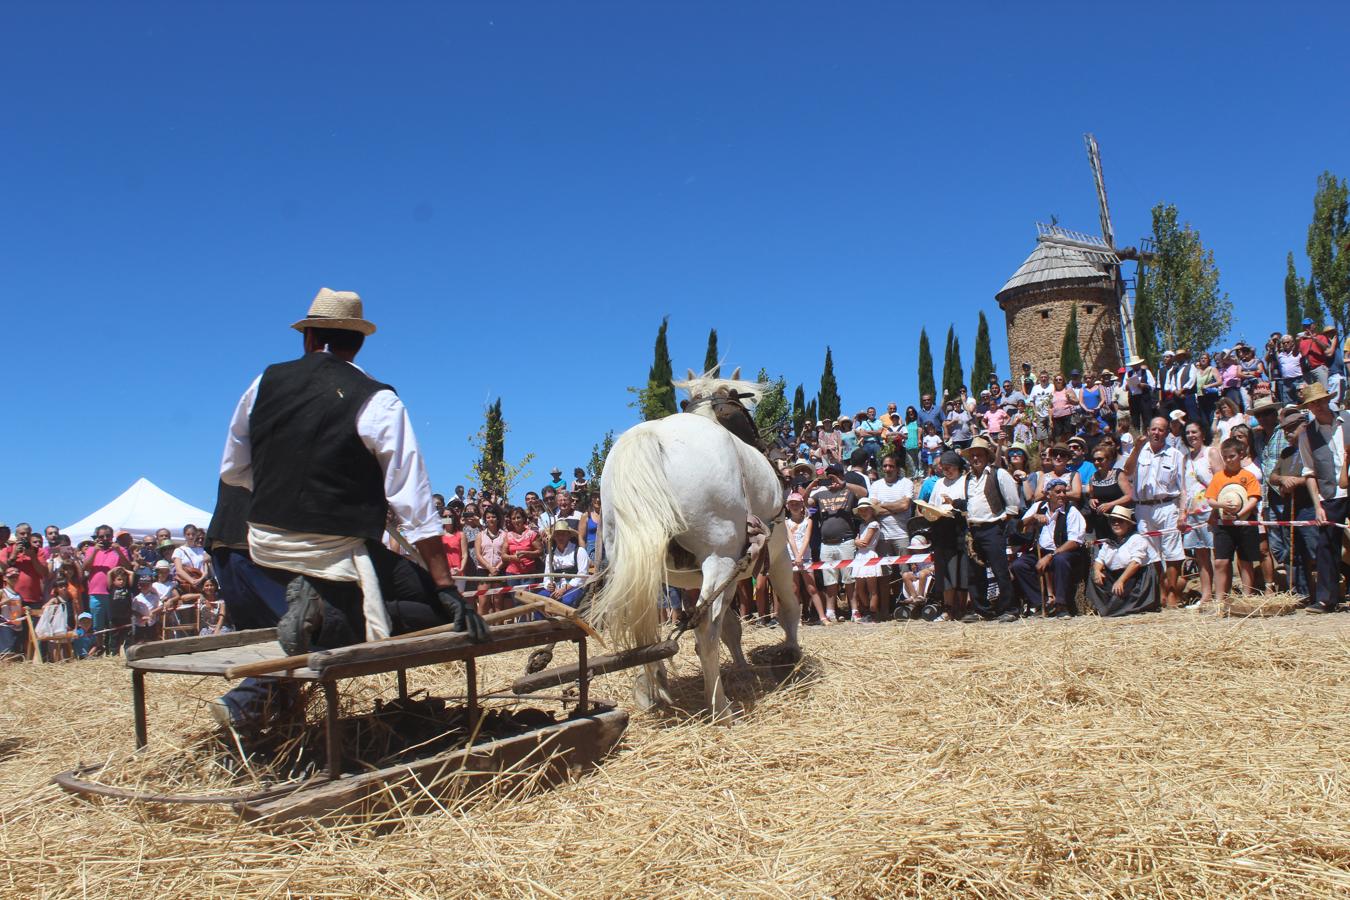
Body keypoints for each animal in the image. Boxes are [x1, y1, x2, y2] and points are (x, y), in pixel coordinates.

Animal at [594, 369, 799, 723]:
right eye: (743, 409)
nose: (763, 444)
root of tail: (651, 436)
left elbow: (731, 627)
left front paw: (743, 669)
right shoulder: (777, 556)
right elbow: (788, 608)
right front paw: (792, 654)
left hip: (644, 567)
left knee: (647, 629)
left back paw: (654, 690)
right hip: (720, 559)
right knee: (704, 633)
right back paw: (720, 706)